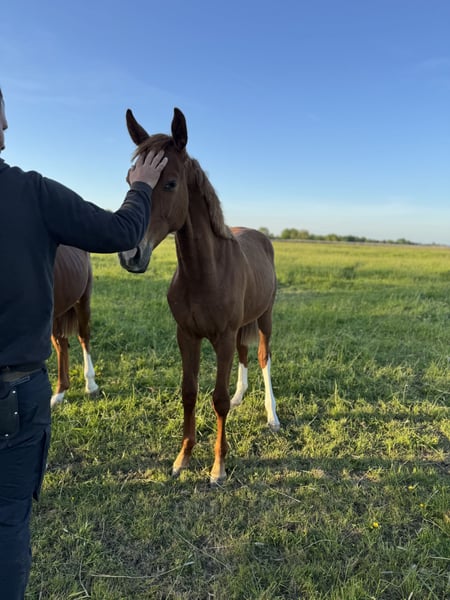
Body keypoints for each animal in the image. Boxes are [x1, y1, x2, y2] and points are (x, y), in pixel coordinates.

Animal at [119, 108, 280, 484]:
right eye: (130, 179)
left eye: (171, 183)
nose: (131, 255)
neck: (206, 273)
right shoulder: (187, 335)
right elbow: (189, 392)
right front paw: (183, 458)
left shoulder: (221, 336)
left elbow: (216, 399)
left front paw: (218, 467)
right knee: (244, 354)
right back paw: (240, 398)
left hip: (263, 318)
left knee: (262, 356)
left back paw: (272, 416)